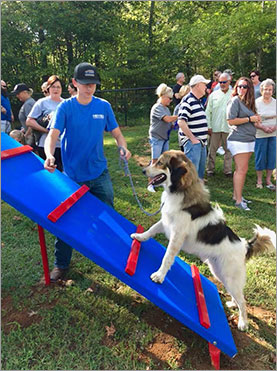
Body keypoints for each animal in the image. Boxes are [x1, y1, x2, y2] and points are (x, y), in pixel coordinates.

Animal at [130, 150, 274, 332]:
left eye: (160, 163)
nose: (143, 171)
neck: (181, 190)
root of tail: (245, 245)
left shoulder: (177, 236)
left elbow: (167, 258)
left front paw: (159, 276)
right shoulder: (166, 223)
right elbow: (151, 230)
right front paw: (139, 237)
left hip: (229, 276)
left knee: (243, 301)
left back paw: (243, 322)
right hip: (220, 273)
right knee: (238, 295)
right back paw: (232, 304)